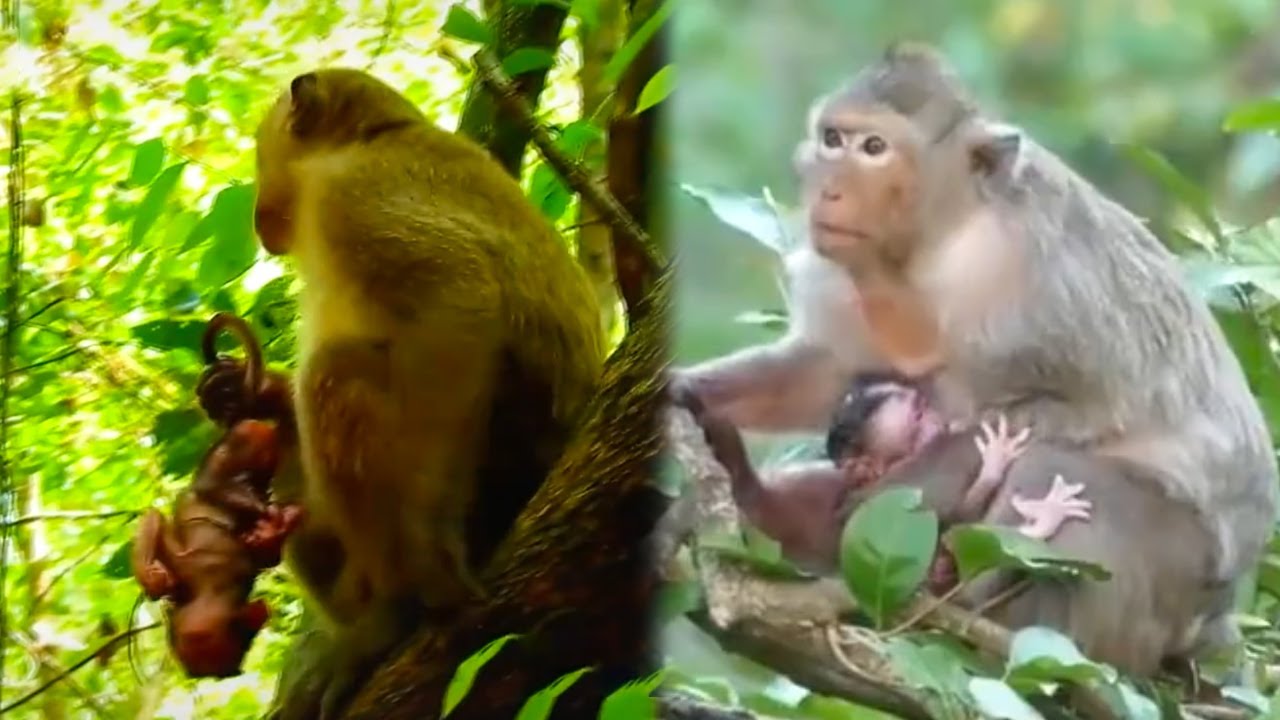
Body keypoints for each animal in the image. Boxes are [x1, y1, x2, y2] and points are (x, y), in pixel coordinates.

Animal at [251, 68, 604, 718]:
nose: (259, 217)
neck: (368, 137)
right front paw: (246, 396)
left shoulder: (354, 195)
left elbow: (457, 297)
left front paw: (427, 562)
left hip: (501, 476)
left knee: (337, 372)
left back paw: (388, 618)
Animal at [671, 43, 1276, 660]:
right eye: (832, 139)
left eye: (874, 148)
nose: (828, 191)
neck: (938, 242)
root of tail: (1215, 619)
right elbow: (831, 373)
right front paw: (682, 393)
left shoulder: (1035, 279)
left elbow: (1068, 410)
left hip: (1176, 569)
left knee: (1056, 468)